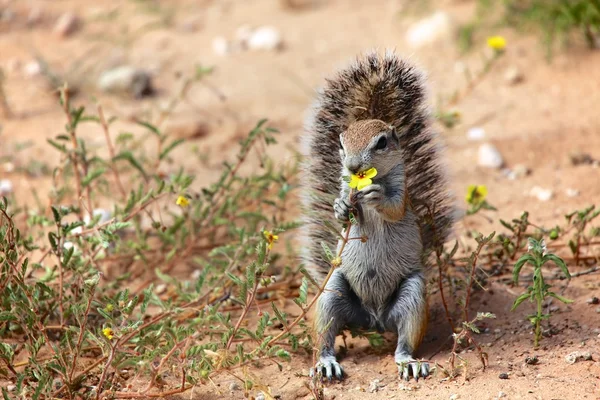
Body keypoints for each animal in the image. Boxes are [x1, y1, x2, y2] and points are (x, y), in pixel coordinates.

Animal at [300, 51, 454, 380]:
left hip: (412, 296)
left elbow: (394, 209)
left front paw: (377, 196)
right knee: (325, 338)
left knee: (405, 342)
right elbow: (343, 217)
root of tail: (374, 319)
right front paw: (340, 207)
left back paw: (409, 362)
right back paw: (326, 363)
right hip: (332, 293)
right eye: (341, 143)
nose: (353, 166)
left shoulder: (403, 193)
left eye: (381, 142)